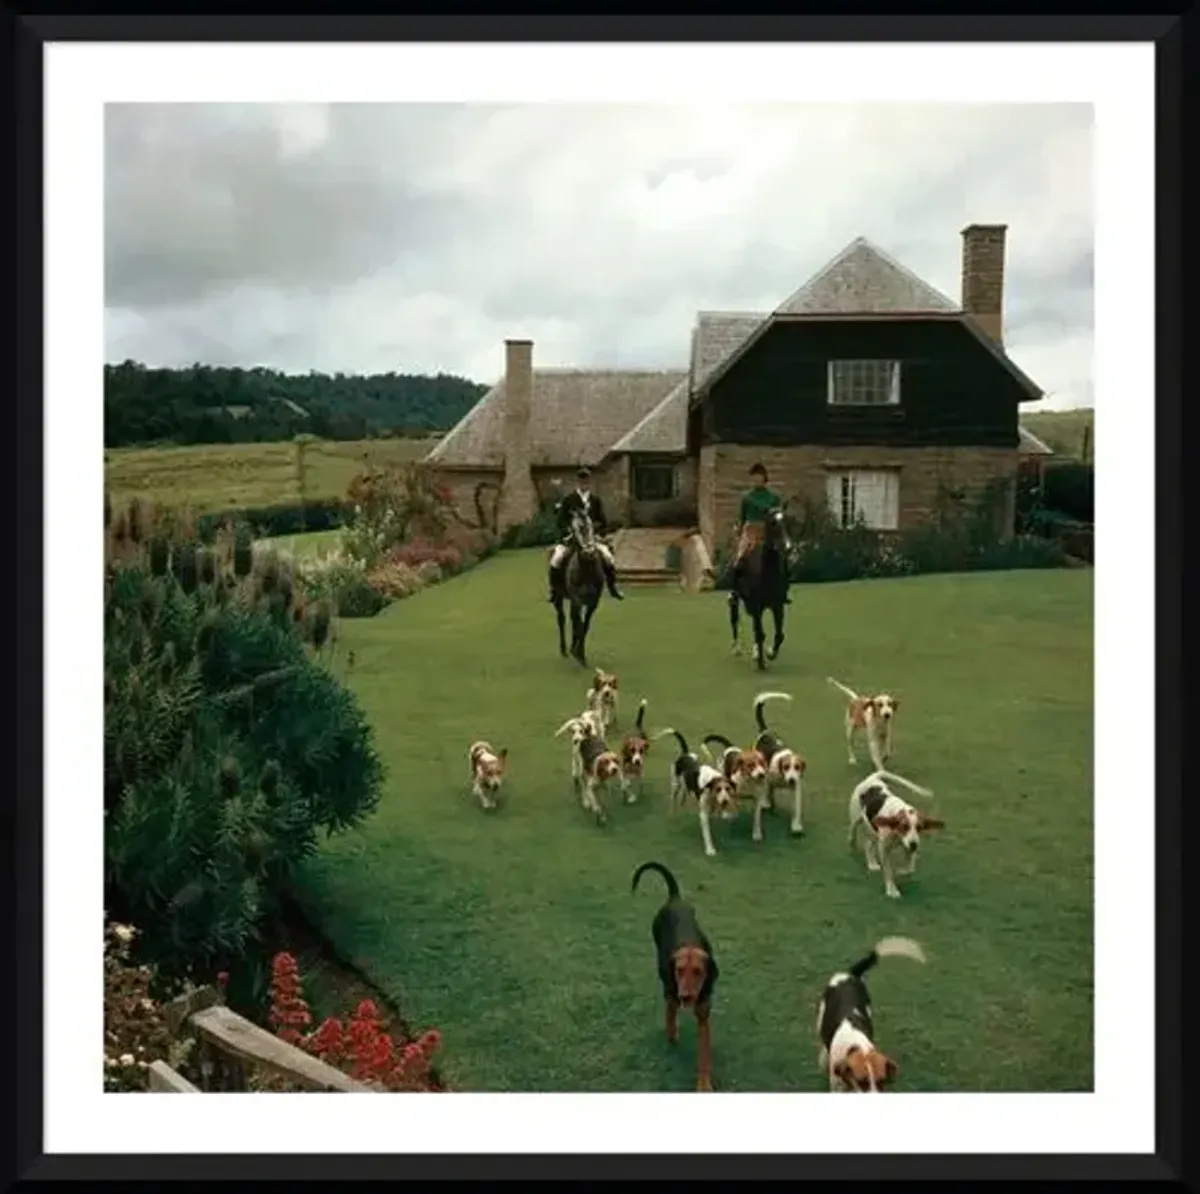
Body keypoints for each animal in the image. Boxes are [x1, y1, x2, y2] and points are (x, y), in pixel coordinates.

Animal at [554, 508, 609, 667]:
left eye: (592, 527)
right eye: (574, 529)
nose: (589, 553)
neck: (586, 570)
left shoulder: (593, 602)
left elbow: (584, 625)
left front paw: (580, 654)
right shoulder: (577, 599)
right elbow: (578, 624)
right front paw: (577, 653)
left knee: (573, 620)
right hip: (558, 597)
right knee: (562, 618)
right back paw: (564, 649)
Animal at [724, 506, 792, 672]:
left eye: (787, 520)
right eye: (773, 523)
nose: (788, 548)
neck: (766, 573)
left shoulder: (777, 605)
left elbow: (779, 635)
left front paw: (770, 653)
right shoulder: (756, 606)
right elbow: (760, 633)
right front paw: (762, 662)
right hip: (736, 599)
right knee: (734, 618)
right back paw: (736, 648)